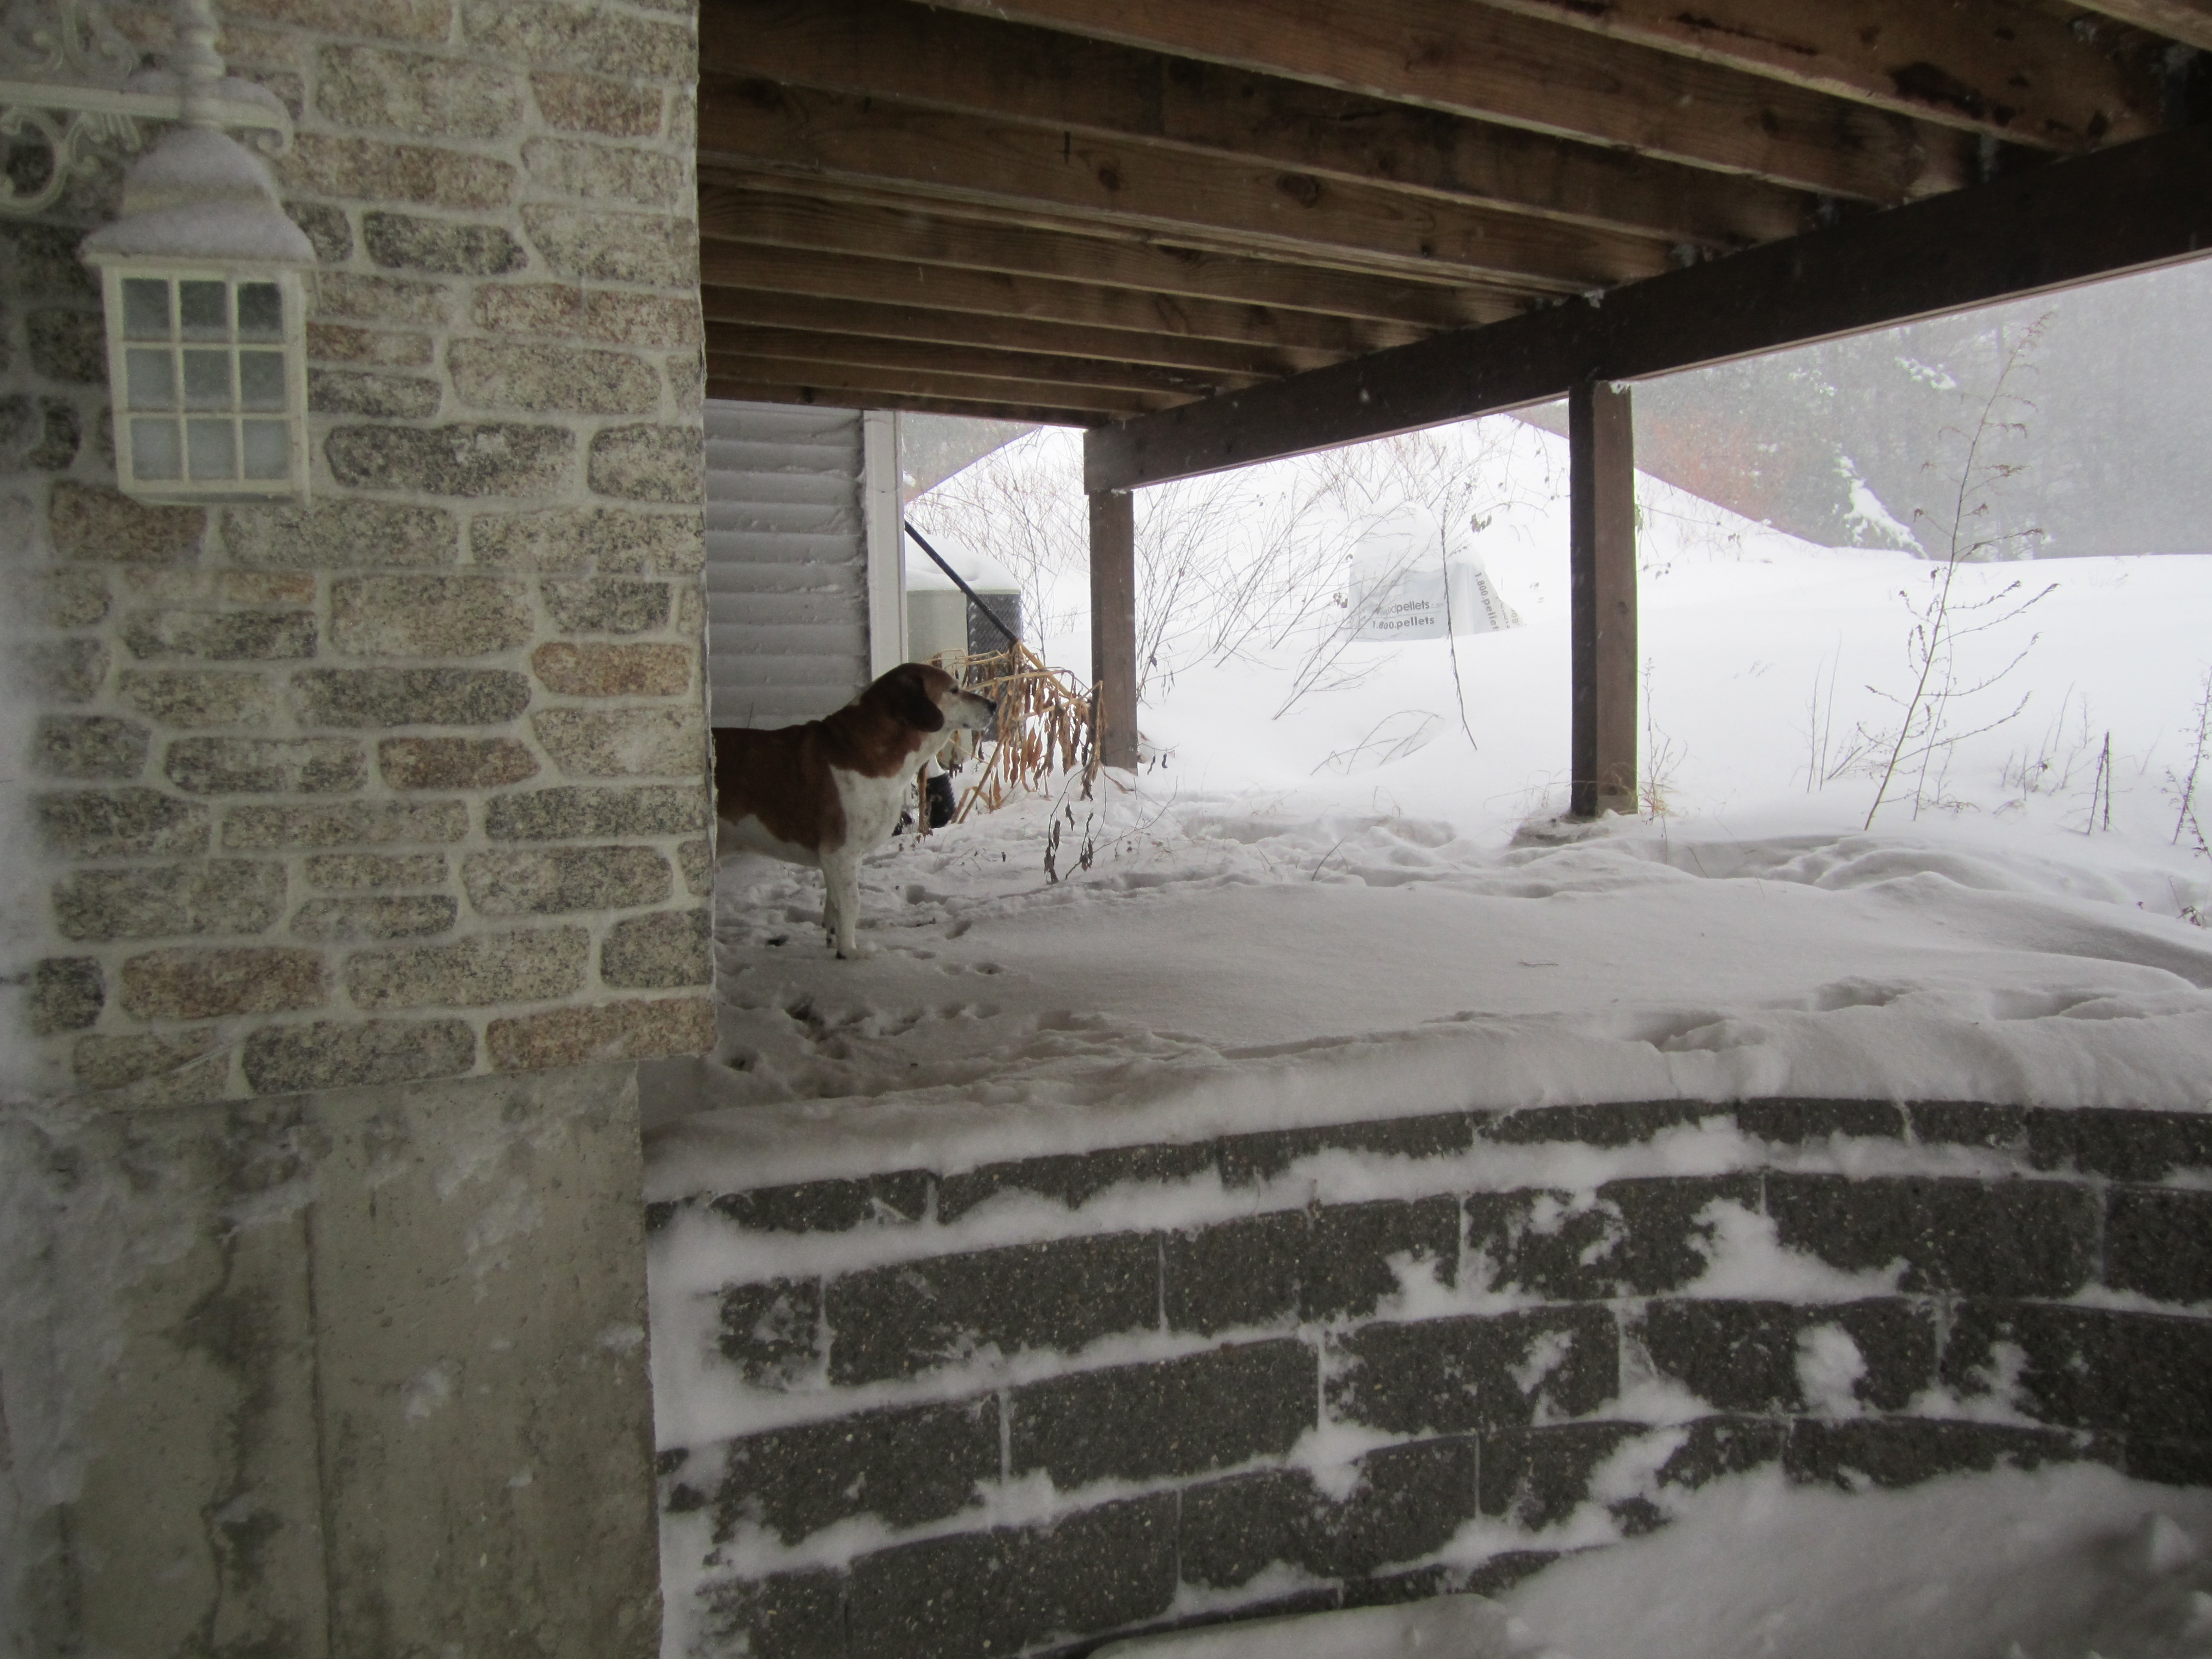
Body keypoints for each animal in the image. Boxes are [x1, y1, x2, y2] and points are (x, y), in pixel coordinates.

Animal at [713, 662, 998, 957]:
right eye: (954, 690)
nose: (994, 705)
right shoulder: (840, 852)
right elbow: (851, 903)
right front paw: (850, 953)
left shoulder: (839, 859)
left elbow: (834, 904)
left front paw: (835, 941)